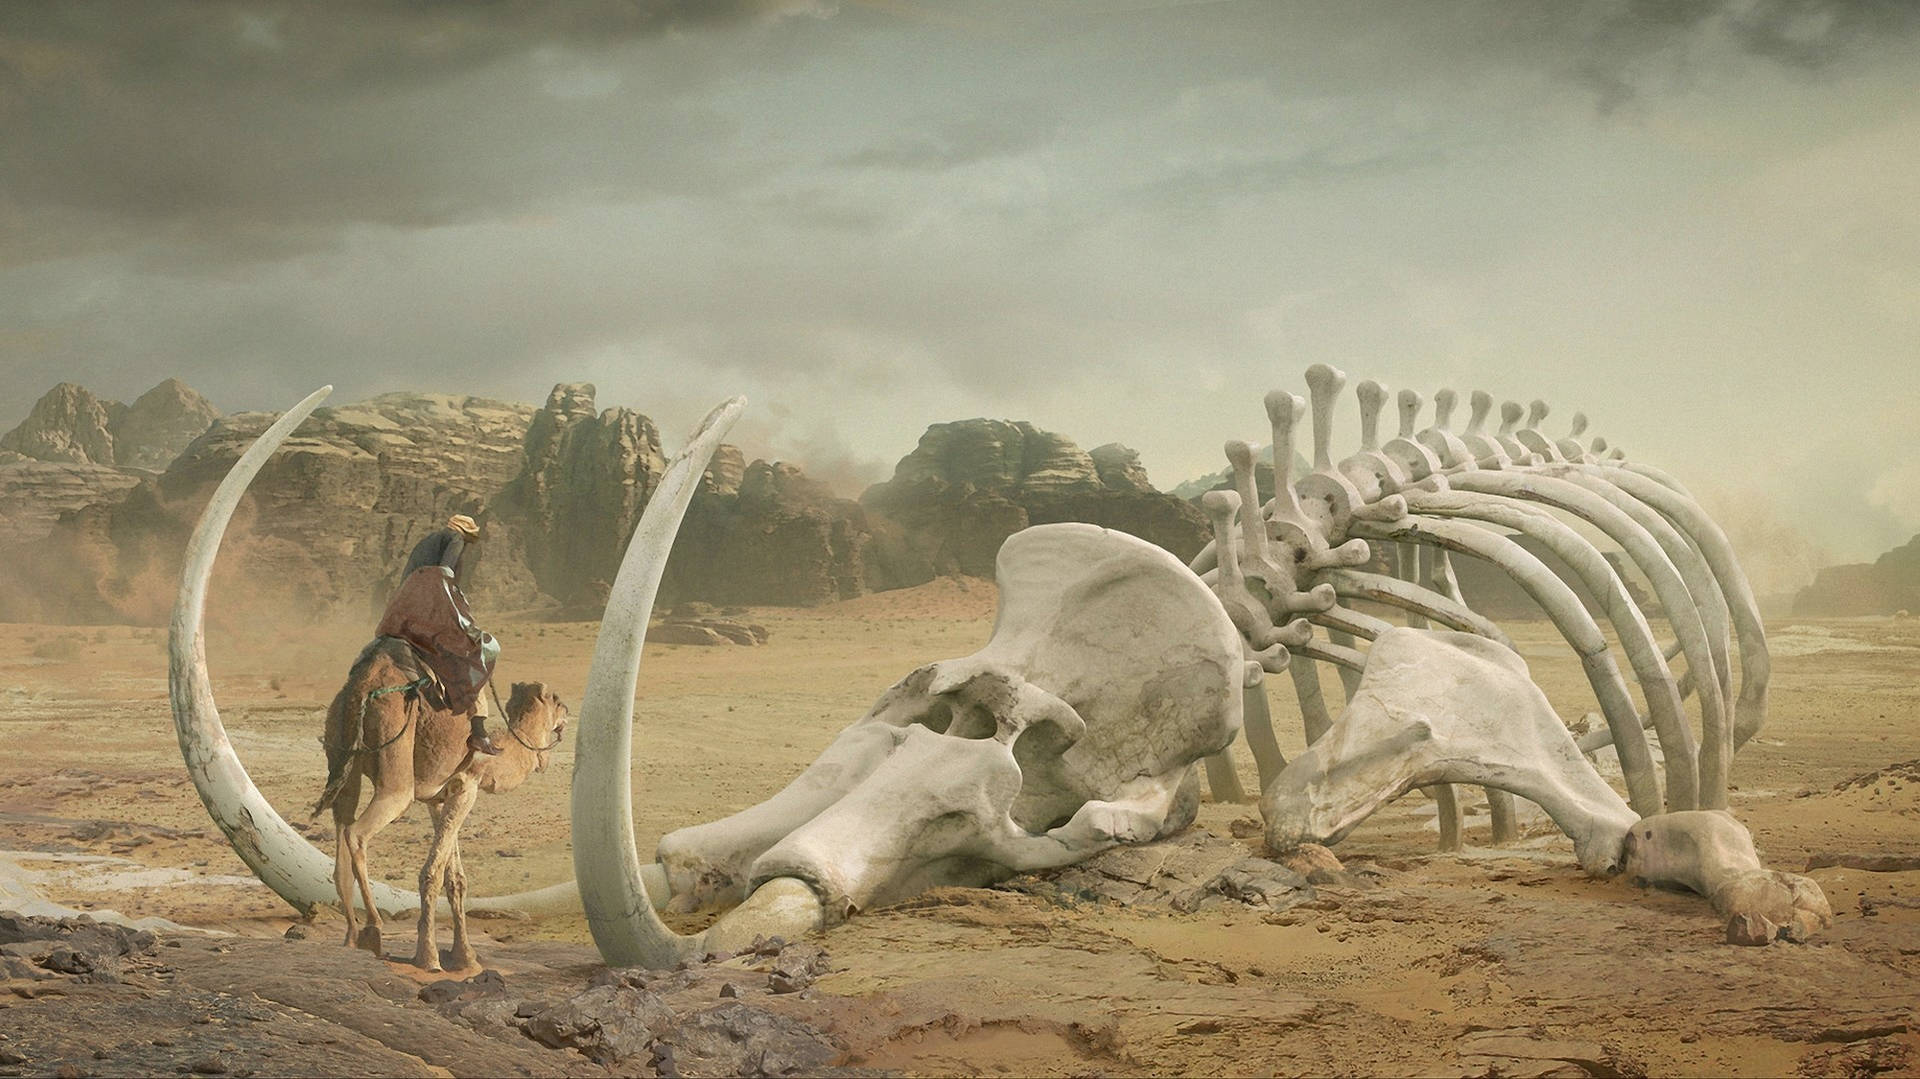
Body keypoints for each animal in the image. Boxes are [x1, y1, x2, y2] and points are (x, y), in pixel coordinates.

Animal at [311, 633, 564, 971]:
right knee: (358, 832)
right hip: (396, 763)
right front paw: (429, 957)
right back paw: (373, 929)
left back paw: (352, 934)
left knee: (342, 834)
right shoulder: (467, 786)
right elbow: (431, 872)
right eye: (557, 700)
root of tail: (360, 689)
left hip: (341, 754)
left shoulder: (440, 796)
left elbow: (454, 877)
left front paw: (465, 957)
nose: (567, 713)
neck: (495, 755)